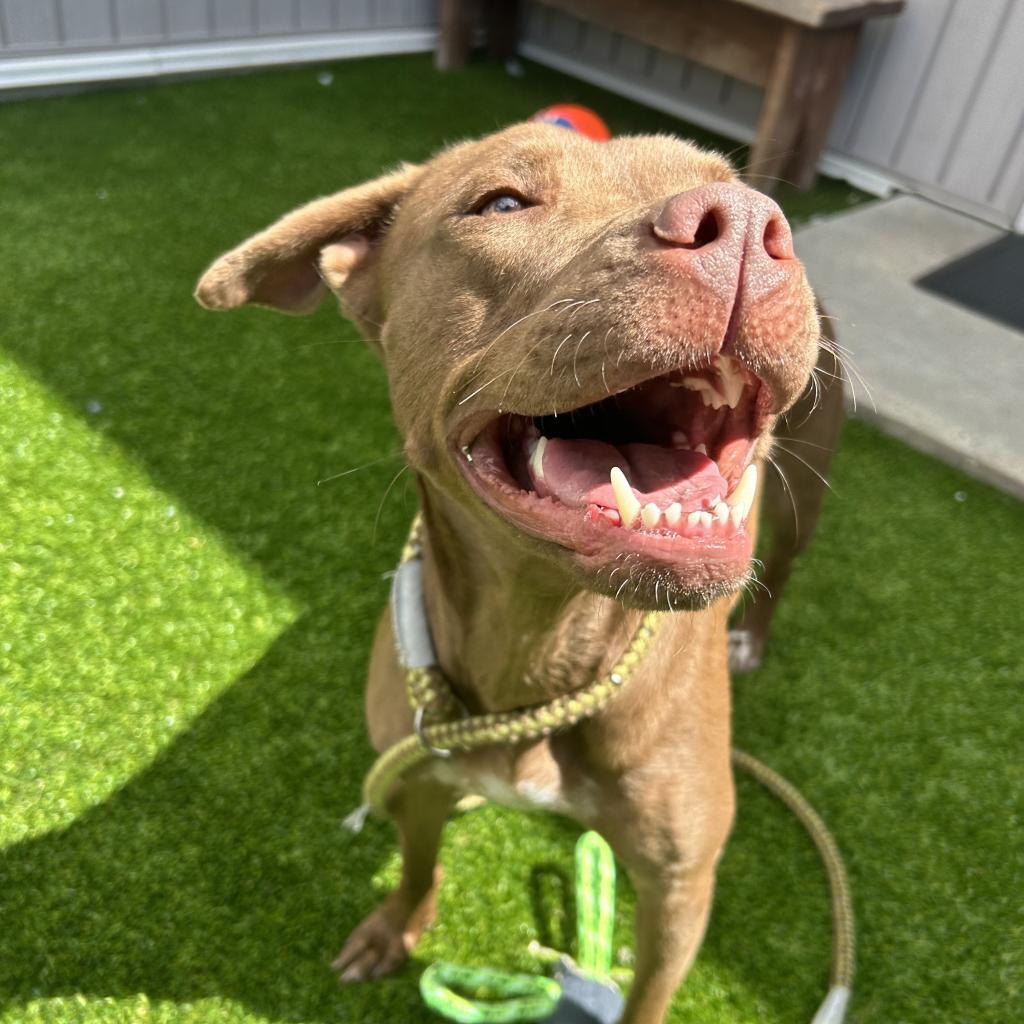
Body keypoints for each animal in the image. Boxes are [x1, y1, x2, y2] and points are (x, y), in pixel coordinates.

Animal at [195, 125, 835, 1024]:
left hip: (805, 489)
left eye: (735, 187)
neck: (540, 647)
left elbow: (647, 997)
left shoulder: (680, 885)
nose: (748, 222)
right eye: (501, 202)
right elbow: (418, 862)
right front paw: (394, 929)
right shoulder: (415, 777)